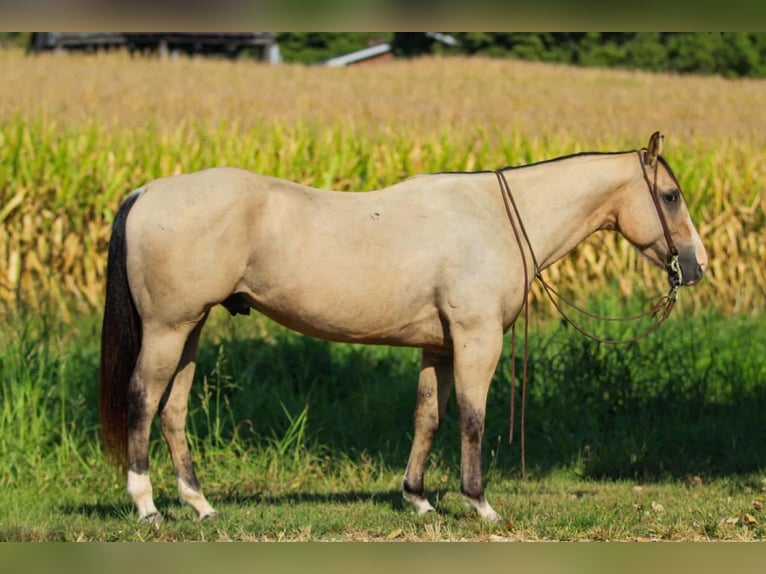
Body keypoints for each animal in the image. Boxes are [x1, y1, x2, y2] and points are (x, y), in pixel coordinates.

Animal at [99, 132, 707, 523]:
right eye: (671, 195)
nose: (697, 265)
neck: (496, 218)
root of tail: (147, 191)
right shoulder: (476, 339)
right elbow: (472, 419)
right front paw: (480, 504)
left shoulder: (439, 347)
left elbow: (427, 418)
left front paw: (417, 498)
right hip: (168, 329)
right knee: (142, 399)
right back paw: (146, 505)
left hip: (190, 330)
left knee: (173, 409)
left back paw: (200, 505)